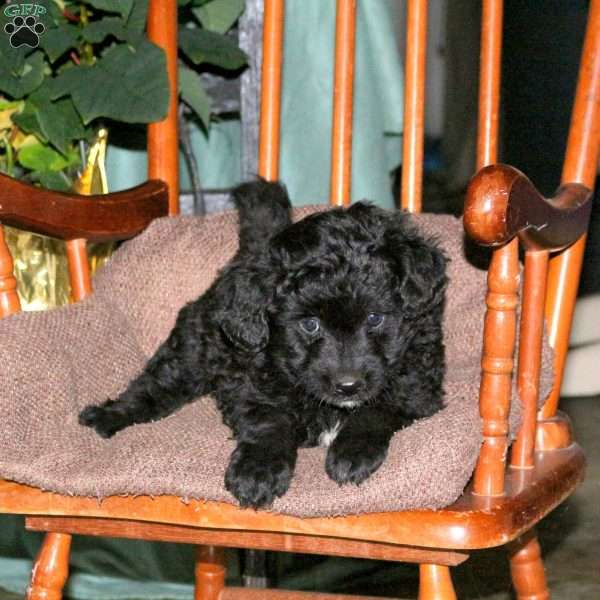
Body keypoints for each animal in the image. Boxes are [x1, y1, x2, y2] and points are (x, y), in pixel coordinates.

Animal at [78, 182, 446, 506]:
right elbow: (269, 421)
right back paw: (110, 415)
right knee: (156, 386)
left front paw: (353, 452)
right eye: (310, 324)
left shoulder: (417, 384)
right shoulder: (250, 381)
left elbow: (378, 408)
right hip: (196, 348)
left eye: (375, 318)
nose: (348, 385)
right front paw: (258, 471)